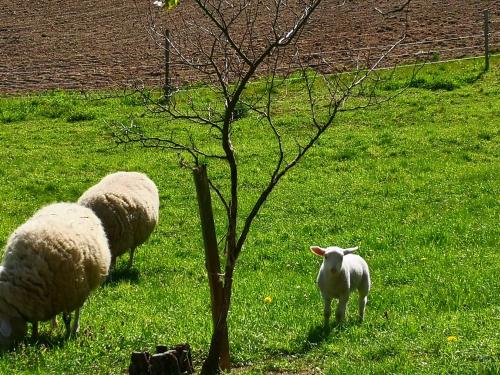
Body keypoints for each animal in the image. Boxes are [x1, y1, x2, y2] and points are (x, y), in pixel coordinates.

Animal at [0, 203, 110, 350]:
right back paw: (54, 325)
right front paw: (35, 335)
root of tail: (70, 204)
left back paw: (74, 329)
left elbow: (67, 318)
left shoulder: (69, 293)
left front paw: (68, 335)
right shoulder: (41, 298)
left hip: (80, 289)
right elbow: (35, 321)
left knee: (78, 311)